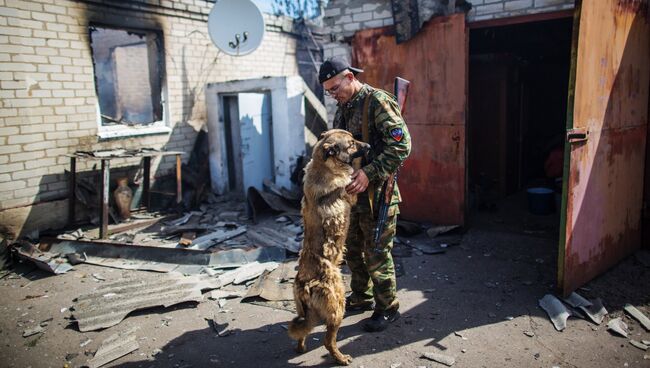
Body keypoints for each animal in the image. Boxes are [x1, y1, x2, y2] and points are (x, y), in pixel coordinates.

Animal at [286, 129, 368, 366]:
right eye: (351, 144)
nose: (369, 146)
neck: (323, 166)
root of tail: (305, 285)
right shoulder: (351, 192)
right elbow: (355, 172)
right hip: (337, 307)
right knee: (327, 341)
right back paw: (341, 358)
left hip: (307, 313)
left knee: (302, 332)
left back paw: (301, 348)